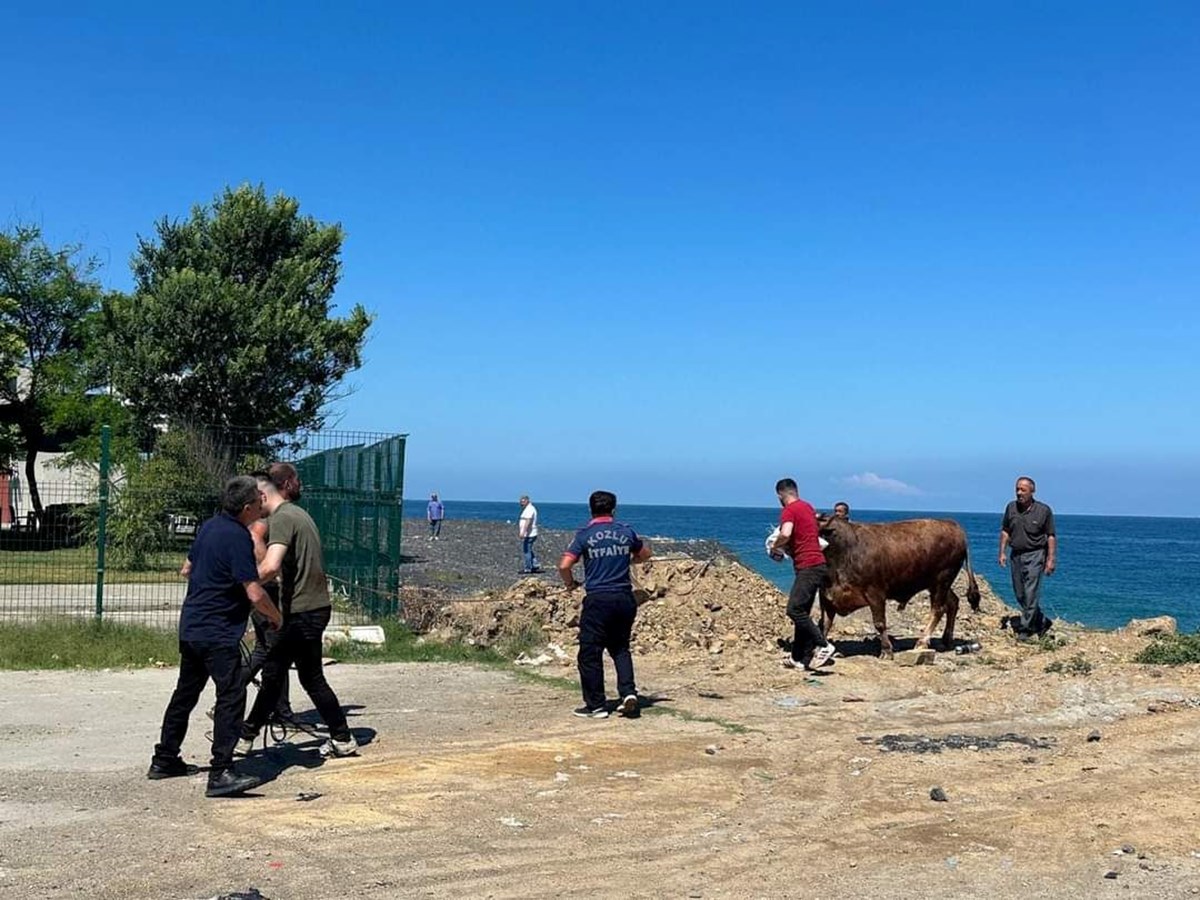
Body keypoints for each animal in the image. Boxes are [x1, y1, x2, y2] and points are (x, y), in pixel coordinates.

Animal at [820, 518, 979, 657]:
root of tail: (953, 525)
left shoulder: (875, 592)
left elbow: (879, 623)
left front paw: (886, 651)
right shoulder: (826, 597)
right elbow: (825, 624)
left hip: (942, 580)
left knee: (938, 609)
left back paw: (922, 642)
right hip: (936, 584)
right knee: (953, 602)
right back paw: (947, 639)